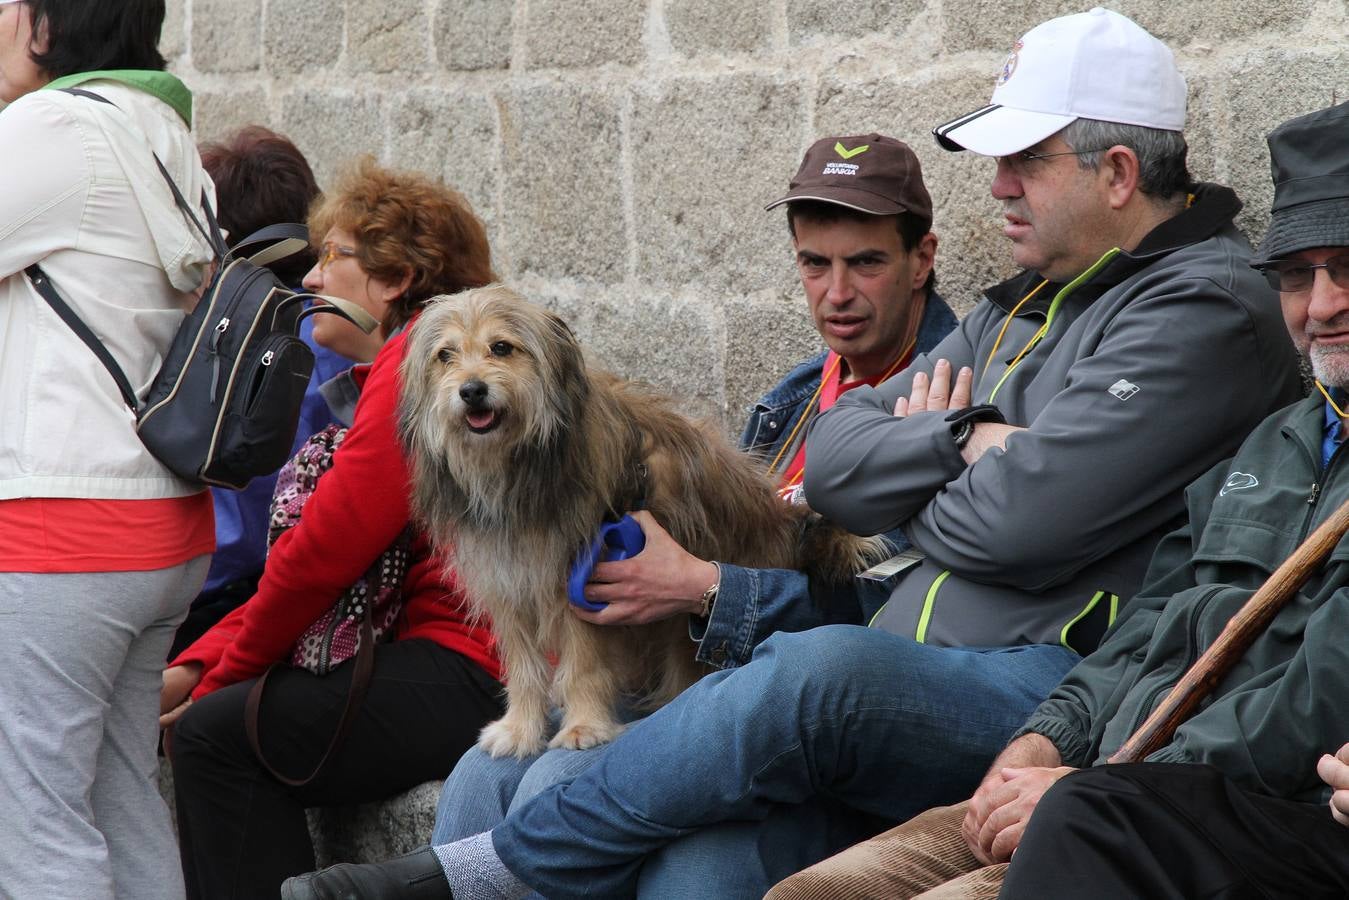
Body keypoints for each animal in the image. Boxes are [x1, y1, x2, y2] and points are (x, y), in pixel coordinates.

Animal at [399, 284, 884, 755]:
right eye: (445, 355)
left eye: (501, 347)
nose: (471, 390)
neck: (516, 469)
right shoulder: (508, 582)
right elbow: (523, 666)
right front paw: (520, 730)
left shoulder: (581, 586)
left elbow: (583, 663)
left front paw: (584, 726)